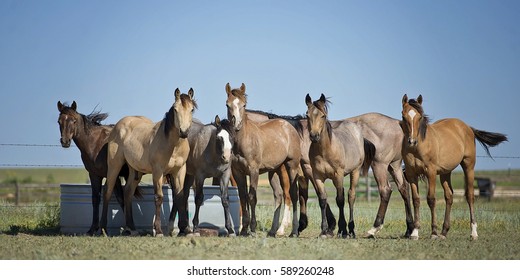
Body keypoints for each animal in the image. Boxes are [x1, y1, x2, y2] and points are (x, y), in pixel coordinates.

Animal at [56, 101, 142, 235]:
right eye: (59, 121)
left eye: (74, 121)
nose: (65, 141)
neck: (95, 143)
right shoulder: (94, 175)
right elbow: (95, 199)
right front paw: (92, 229)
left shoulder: (113, 175)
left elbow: (119, 198)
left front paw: (121, 228)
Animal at [101, 88, 197, 236]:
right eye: (175, 109)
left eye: (192, 109)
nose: (184, 132)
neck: (173, 145)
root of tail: (118, 125)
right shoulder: (158, 171)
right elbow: (159, 197)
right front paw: (158, 231)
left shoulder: (180, 171)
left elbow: (180, 196)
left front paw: (185, 229)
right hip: (114, 165)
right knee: (108, 190)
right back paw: (103, 229)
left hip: (135, 170)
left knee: (128, 192)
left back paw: (131, 228)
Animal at [226, 82, 302, 236]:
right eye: (227, 104)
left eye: (244, 104)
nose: (236, 124)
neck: (244, 141)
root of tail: (289, 126)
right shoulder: (238, 172)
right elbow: (242, 197)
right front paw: (244, 229)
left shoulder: (253, 171)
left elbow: (252, 197)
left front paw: (252, 228)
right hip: (274, 171)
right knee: (278, 195)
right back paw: (273, 230)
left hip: (291, 166)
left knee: (292, 194)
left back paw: (292, 231)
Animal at [304, 94, 374, 238]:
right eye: (307, 115)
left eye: (323, 115)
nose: (314, 136)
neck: (325, 151)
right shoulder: (317, 176)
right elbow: (322, 200)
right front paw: (324, 230)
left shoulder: (338, 175)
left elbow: (340, 200)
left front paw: (343, 230)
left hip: (355, 172)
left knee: (351, 196)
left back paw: (351, 230)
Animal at [402, 94, 508, 241]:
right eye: (403, 117)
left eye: (419, 117)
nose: (412, 141)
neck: (418, 148)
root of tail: (467, 127)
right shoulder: (412, 175)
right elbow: (416, 200)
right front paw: (415, 232)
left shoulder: (431, 173)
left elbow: (431, 199)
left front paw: (433, 232)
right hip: (445, 173)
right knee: (449, 196)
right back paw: (444, 232)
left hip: (468, 166)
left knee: (470, 196)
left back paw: (473, 232)